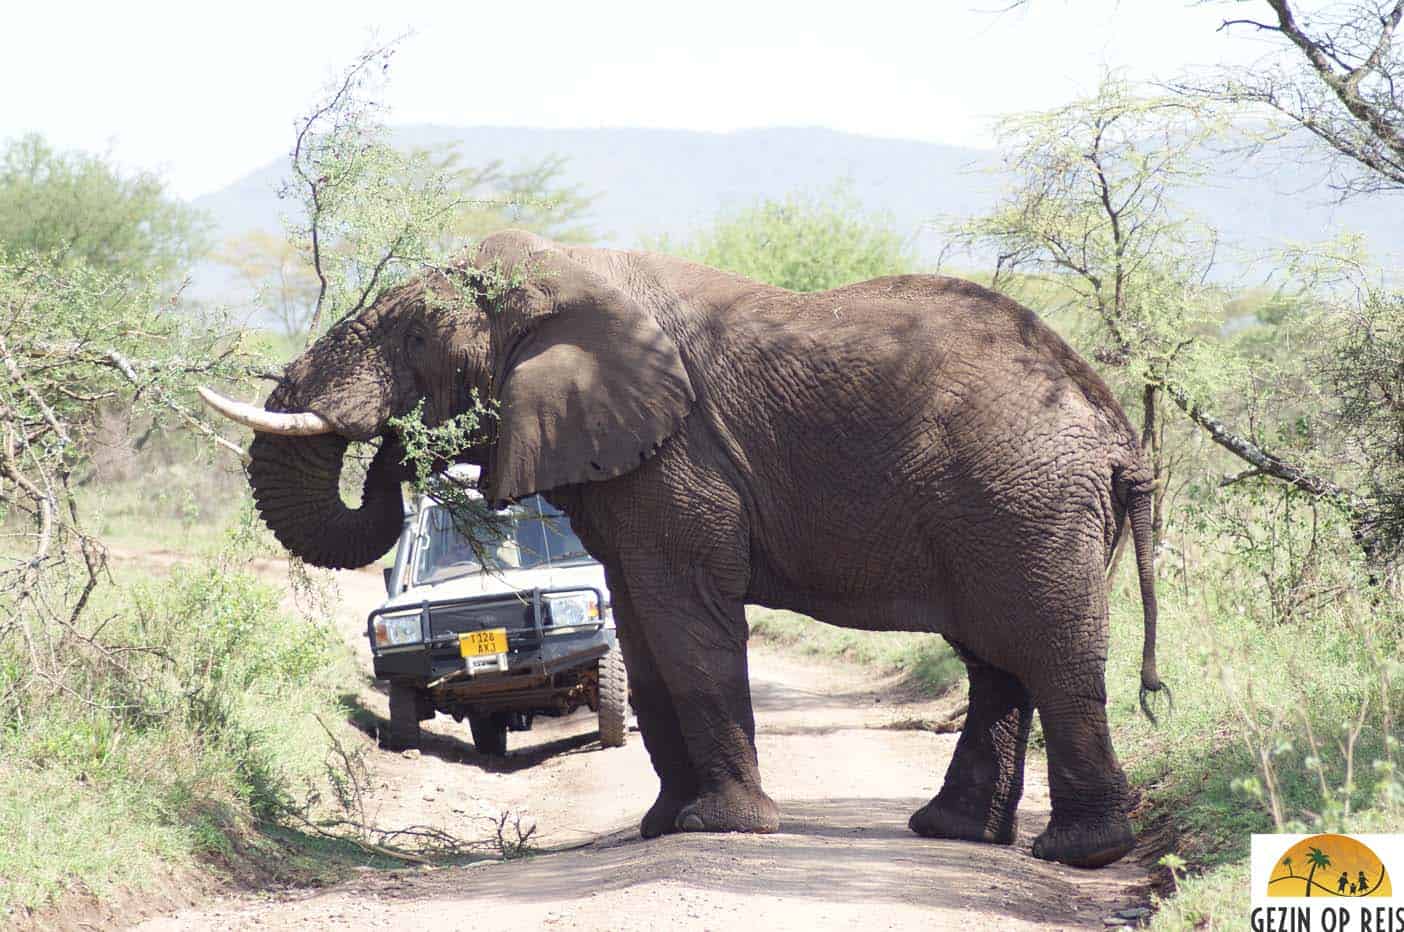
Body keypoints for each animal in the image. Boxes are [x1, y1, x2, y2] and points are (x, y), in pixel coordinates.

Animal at [197, 228, 1162, 870]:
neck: (566, 274)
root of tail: (1116, 429)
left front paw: (720, 827)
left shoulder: (678, 457)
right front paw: (663, 825)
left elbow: (683, 621)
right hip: (1012, 507)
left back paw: (1080, 853)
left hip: (1025, 499)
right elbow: (637, 625)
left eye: (417, 340)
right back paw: (954, 833)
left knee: (1045, 650)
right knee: (996, 658)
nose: (399, 448)